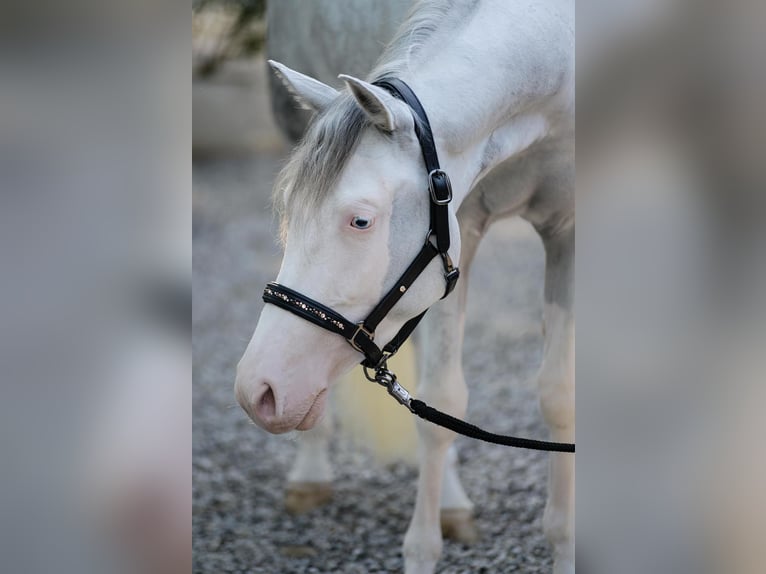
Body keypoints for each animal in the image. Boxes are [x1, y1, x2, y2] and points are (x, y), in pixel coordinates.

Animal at [236, 1, 575, 572]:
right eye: (288, 212)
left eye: (360, 221)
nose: (258, 390)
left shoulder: (568, 230)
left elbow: (558, 398)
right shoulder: (463, 228)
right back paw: (314, 474)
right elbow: (442, 403)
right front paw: (421, 551)